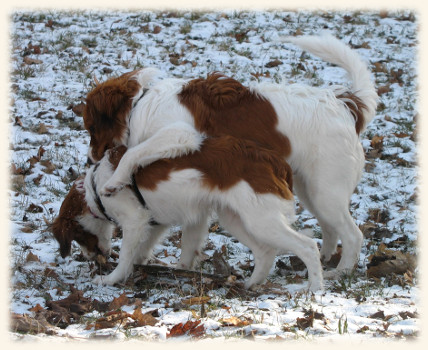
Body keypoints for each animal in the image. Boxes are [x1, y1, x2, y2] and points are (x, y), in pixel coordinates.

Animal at [51, 137, 322, 292]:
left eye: (76, 236)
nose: (90, 259)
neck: (93, 187)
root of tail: (273, 160)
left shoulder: (135, 220)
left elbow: (127, 255)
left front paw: (111, 279)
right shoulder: (156, 222)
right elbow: (152, 249)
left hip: (260, 219)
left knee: (308, 246)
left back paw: (315, 289)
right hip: (236, 218)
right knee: (265, 251)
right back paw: (251, 284)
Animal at [83, 33, 378, 278]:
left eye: (91, 127)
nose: (90, 158)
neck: (140, 106)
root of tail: (346, 105)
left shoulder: (180, 134)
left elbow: (134, 153)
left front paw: (115, 181)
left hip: (325, 191)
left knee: (353, 235)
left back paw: (340, 272)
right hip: (311, 190)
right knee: (329, 228)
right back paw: (326, 258)